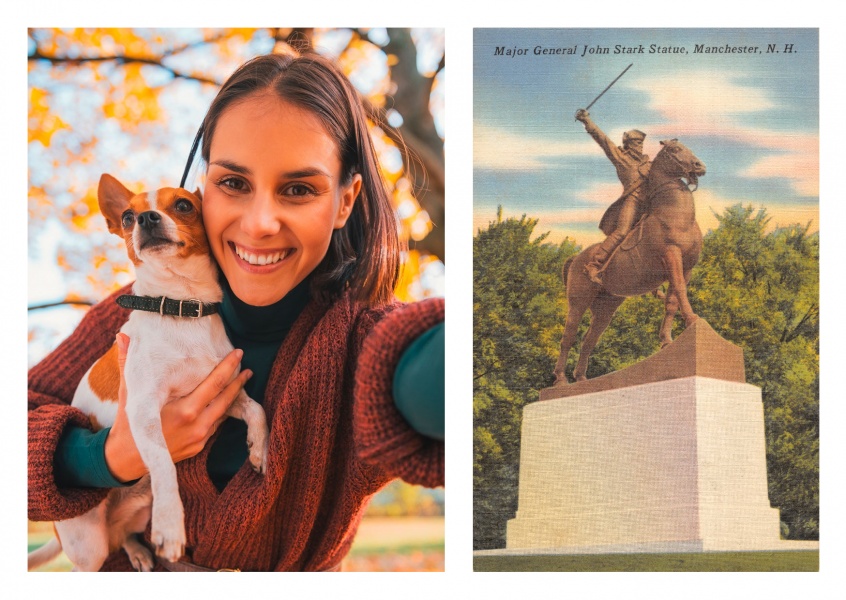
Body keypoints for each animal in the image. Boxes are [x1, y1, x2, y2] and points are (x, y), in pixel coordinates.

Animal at [29, 173, 268, 572]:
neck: (181, 306)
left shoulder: (224, 394)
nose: (145, 218)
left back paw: (139, 551)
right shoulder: (143, 412)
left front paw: (260, 449)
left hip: (137, 511)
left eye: (184, 205)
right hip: (89, 546)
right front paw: (171, 528)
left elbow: (257, 409)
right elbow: (164, 465)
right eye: (127, 216)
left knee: (124, 534)